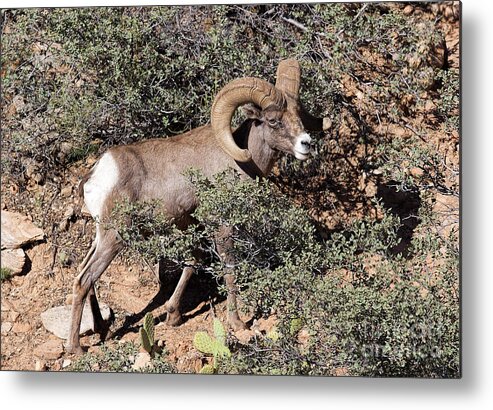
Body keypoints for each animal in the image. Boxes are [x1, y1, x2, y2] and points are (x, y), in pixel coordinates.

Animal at [65, 59, 326, 354]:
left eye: (298, 115)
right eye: (273, 120)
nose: (306, 144)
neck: (243, 160)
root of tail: (97, 174)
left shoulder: (190, 225)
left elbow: (193, 262)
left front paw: (173, 316)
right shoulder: (222, 227)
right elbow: (229, 269)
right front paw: (238, 323)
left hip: (100, 237)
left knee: (85, 274)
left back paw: (102, 329)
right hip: (114, 238)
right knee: (83, 280)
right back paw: (75, 348)